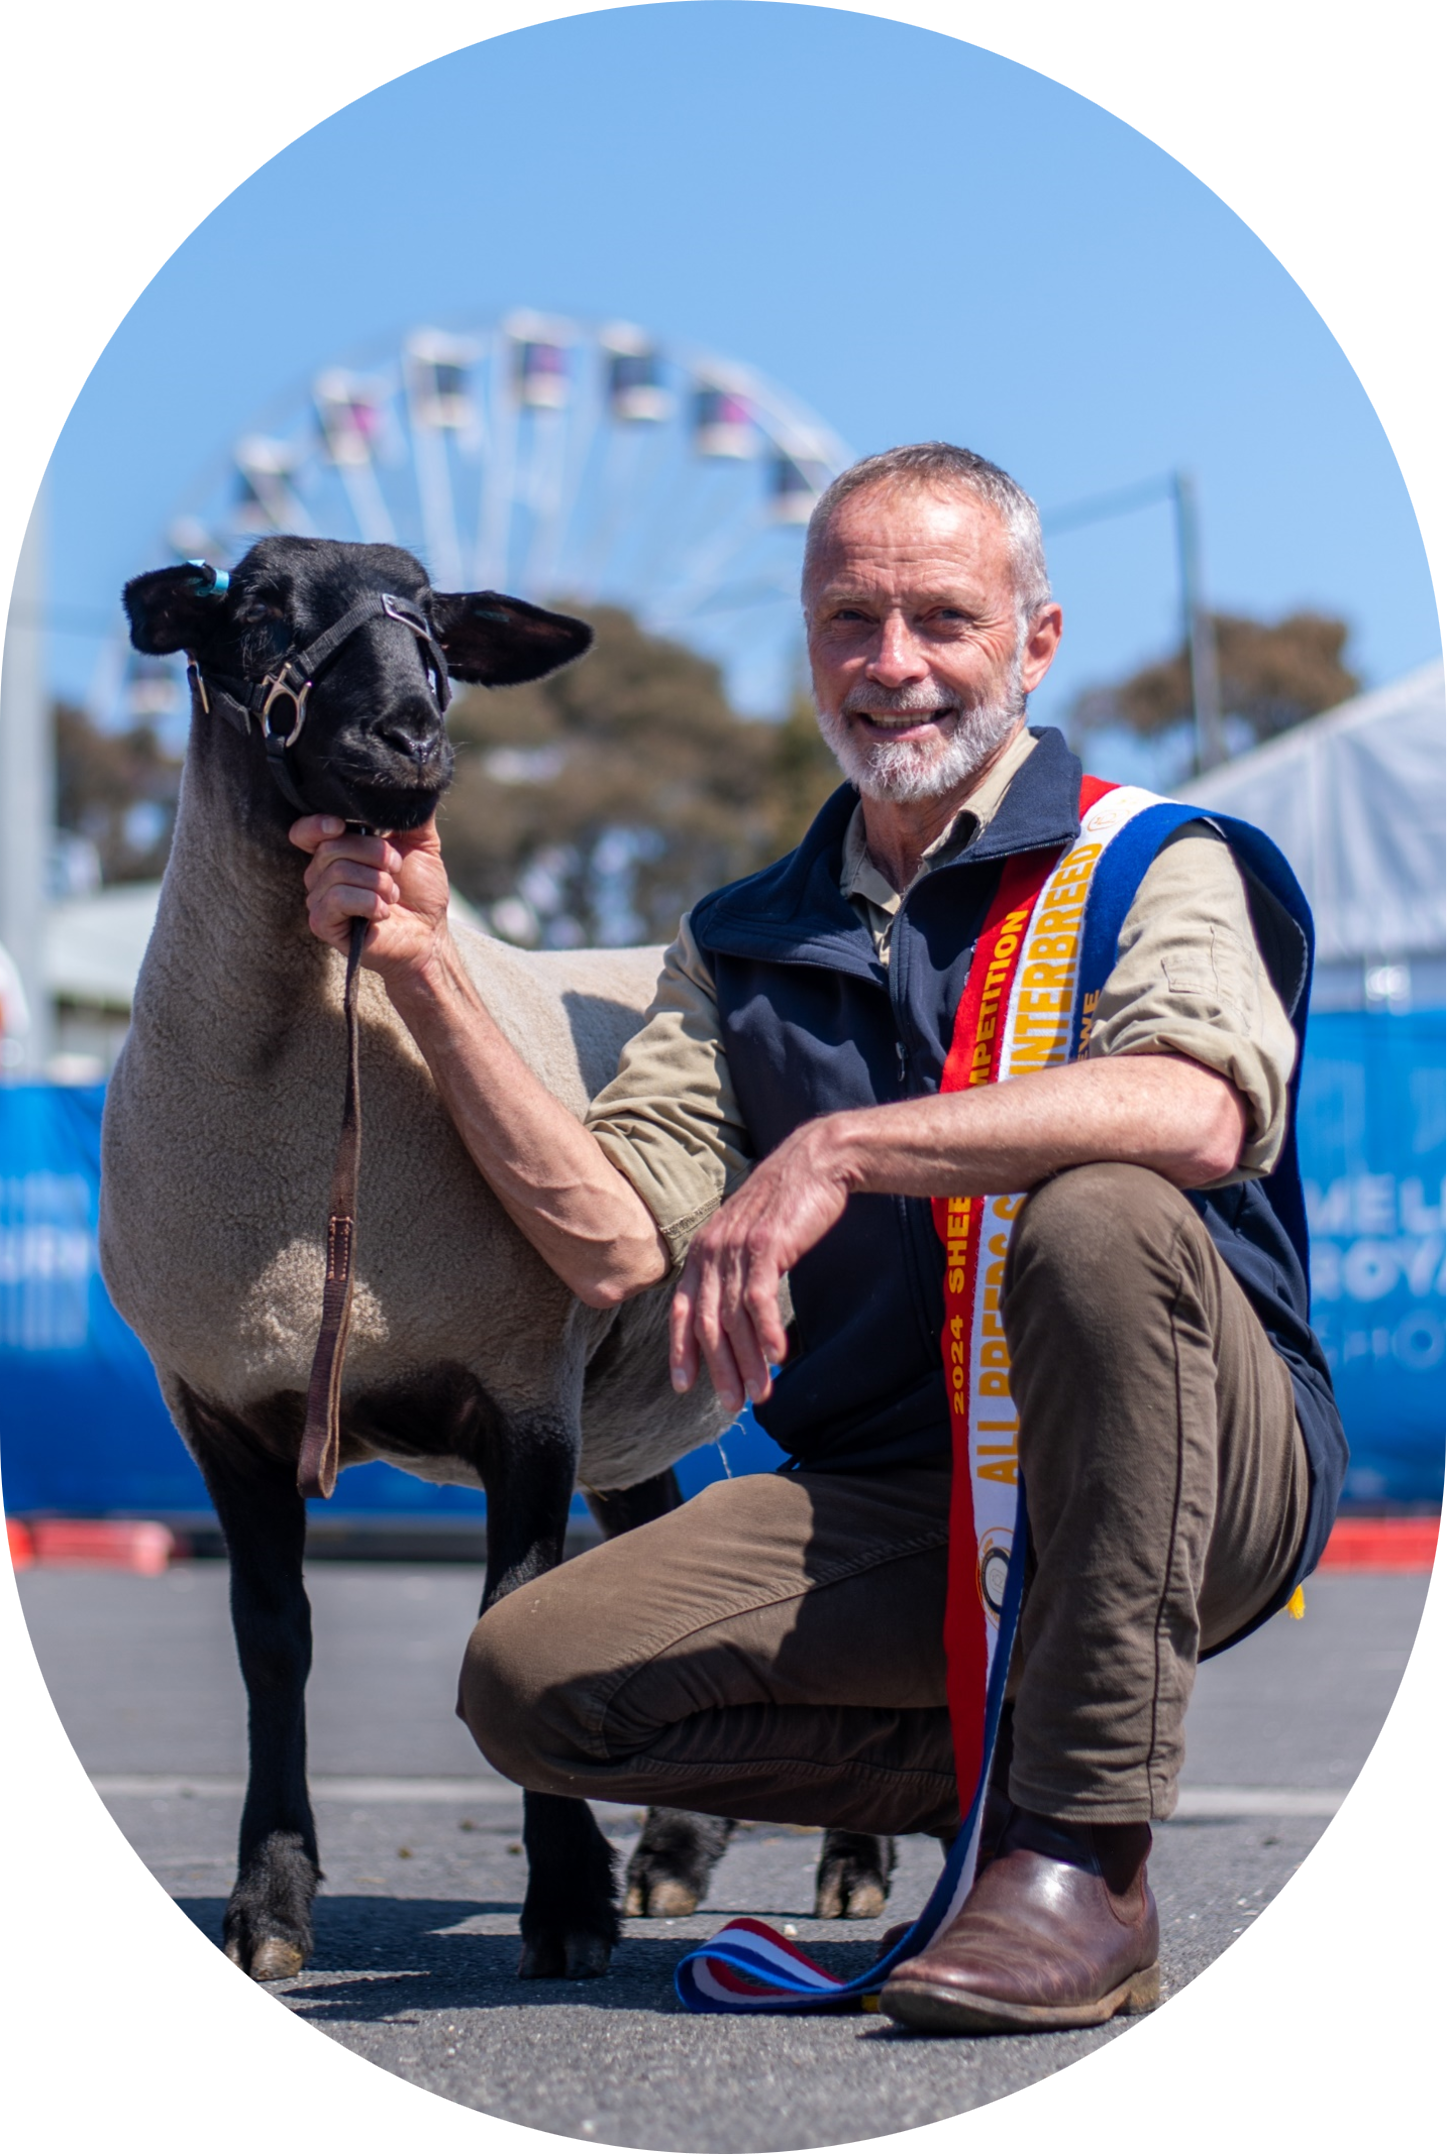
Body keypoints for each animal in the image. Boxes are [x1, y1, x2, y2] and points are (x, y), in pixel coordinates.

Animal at [101, 538, 892, 1982]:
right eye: (258, 611)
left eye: (433, 624)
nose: (410, 734)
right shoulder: (220, 1412)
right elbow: (271, 1647)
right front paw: (271, 1905)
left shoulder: (526, 1392)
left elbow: (506, 1616)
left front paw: (563, 1903)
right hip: (634, 1408)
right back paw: (675, 1855)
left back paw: (849, 1865)